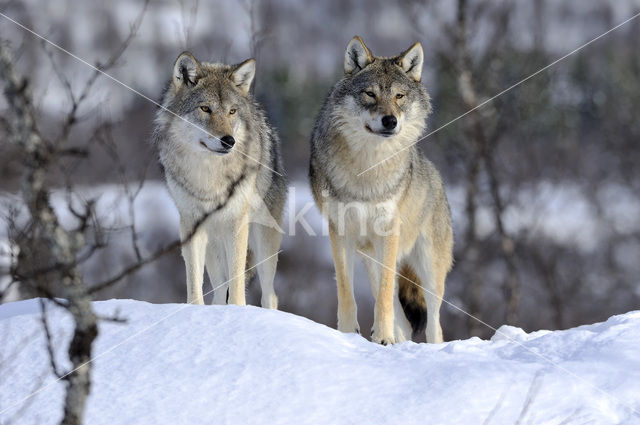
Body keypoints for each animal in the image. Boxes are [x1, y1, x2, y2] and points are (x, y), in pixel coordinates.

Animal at [154, 51, 286, 308]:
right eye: (205, 109)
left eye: (232, 112)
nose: (229, 141)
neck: (209, 175)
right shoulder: (191, 223)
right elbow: (193, 278)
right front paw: (194, 309)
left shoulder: (237, 221)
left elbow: (237, 281)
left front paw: (237, 309)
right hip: (213, 247)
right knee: (218, 291)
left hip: (263, 243)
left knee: (270, 294)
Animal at [310, 36, 456, 344]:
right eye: (370, 94)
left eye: (399, 96)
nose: (390, 121)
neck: (367, 170)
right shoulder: (338, 232)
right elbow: (346, 291)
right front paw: (346, 334)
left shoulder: (389, 232)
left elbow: (386, 297)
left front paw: (383, 338)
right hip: (370, 259)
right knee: (403, 320)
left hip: (429, 268)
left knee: (434, 323)